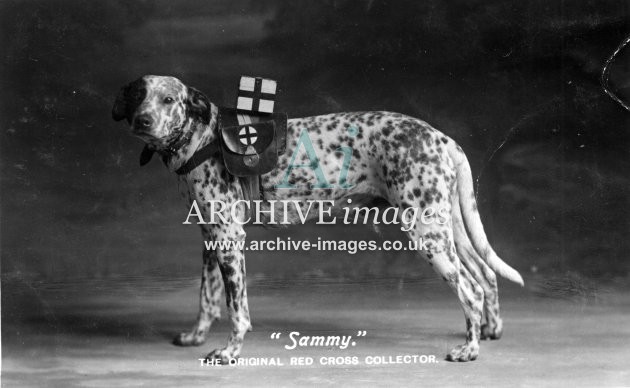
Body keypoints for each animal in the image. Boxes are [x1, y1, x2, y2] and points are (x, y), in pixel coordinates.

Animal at [112, 75, 524, 364]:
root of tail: (442, 139)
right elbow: (207, 299)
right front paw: (197, 336)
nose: (143, 120)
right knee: (485, 277)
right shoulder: (211, 239)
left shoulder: (230, 240)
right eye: (137, 96)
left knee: (471, 290)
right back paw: (490, 330)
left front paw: (229, 353)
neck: (202, 138)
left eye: (168, 99)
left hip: (428, 236)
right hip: (450, 230)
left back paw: (469, 349)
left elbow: (236, 310)